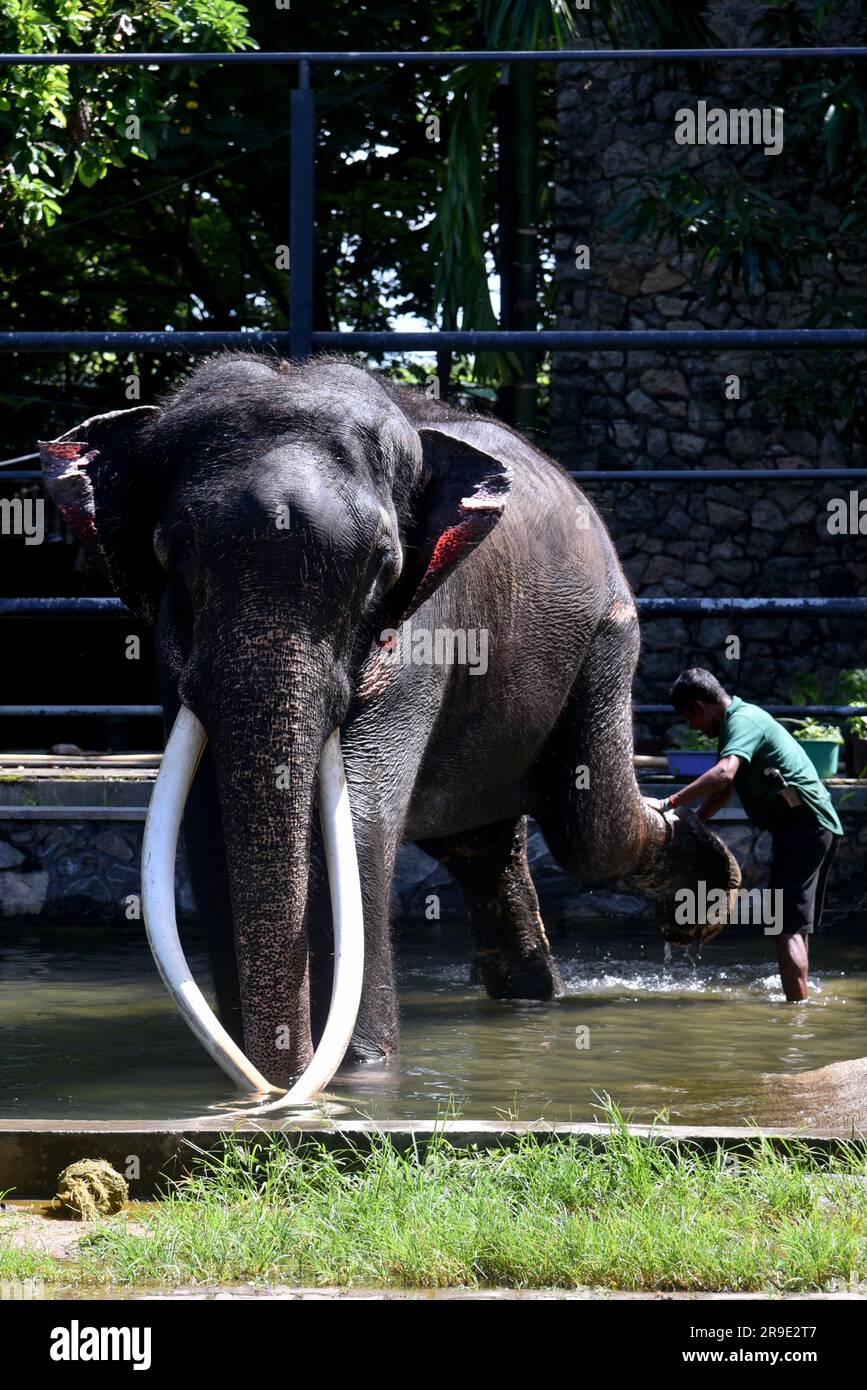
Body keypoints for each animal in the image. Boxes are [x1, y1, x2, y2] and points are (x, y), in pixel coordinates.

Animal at [40, 352, 740, 1096]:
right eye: (170, 556)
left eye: (382, 564)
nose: (277, 1089)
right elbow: (205, 822)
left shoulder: (426, 624)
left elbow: (356, 817)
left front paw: (356, 1073)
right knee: (483, 849)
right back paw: (536, 994)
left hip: (606, 637)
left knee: (588, 835)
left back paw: (702, 903)